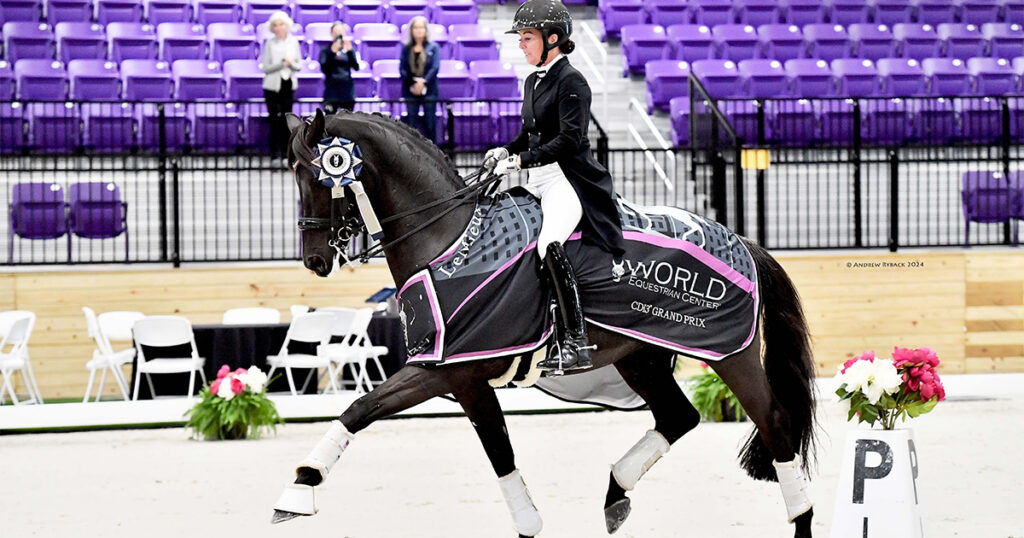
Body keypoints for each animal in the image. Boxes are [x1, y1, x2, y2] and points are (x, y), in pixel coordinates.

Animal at [272, 108, 819, 538]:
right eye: (292, 175)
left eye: (318, 176)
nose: (315, 260)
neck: (448, 239)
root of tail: (741, 241)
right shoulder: (467, 377)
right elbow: (500, 455)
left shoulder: (442, 370)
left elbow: (360, 408)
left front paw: (297, 491)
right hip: (639, 355)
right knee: (678, 416)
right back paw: (615, 494)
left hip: (730, 353)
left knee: (775, 423)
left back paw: (800, 517)